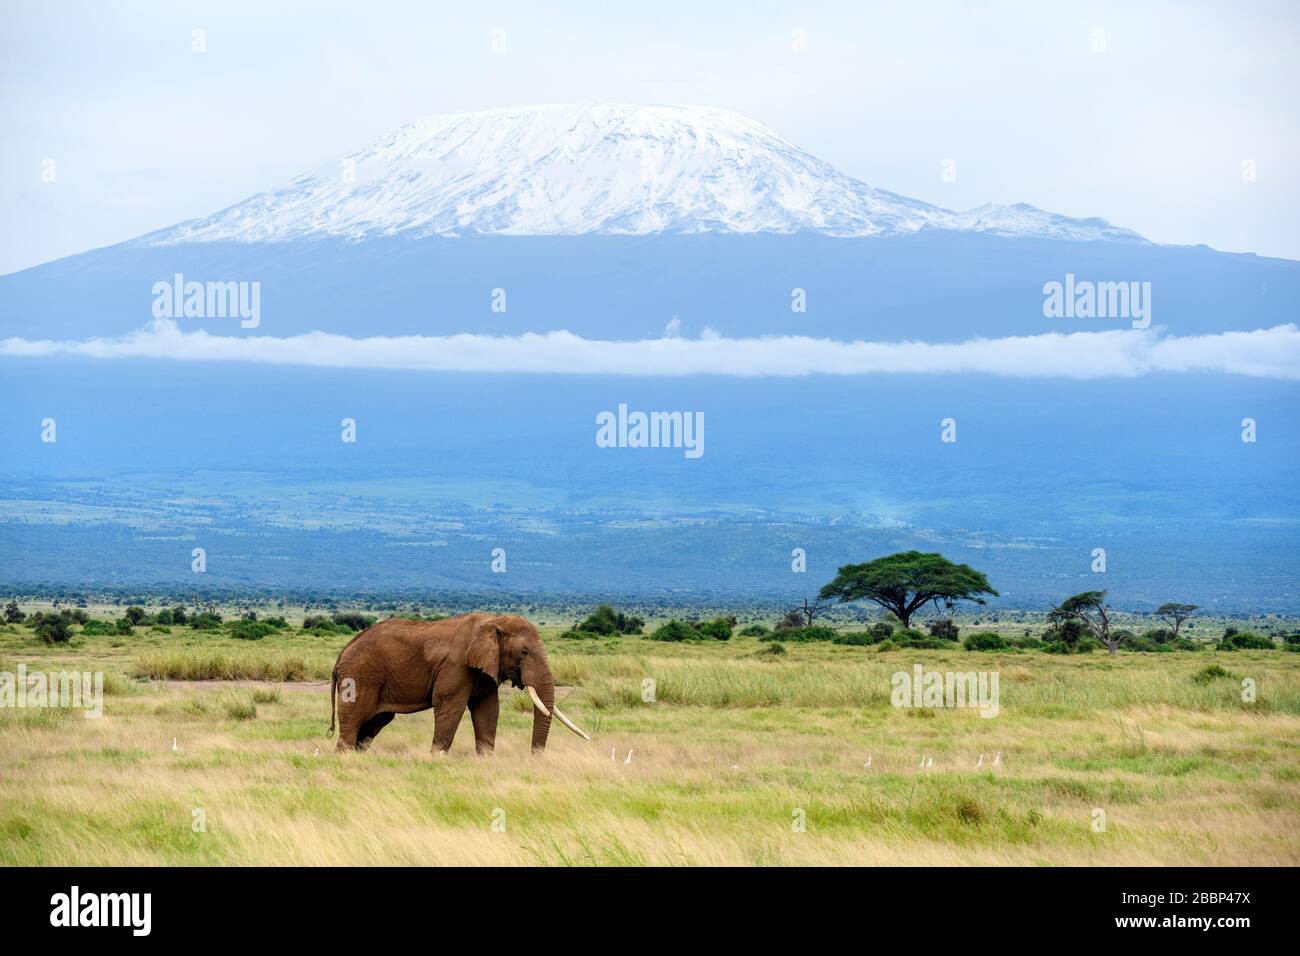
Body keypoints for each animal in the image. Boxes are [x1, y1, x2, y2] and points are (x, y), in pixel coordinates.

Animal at [327, 613, 592, 754]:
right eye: (524, 652)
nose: (535, 757)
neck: (493, 621)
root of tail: (341, 655)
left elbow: (488, 710)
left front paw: (485, 759)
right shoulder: (455, 667)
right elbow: (450, 707)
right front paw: (436, 759)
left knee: (371, 726)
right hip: (359, 678)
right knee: (353, 723)